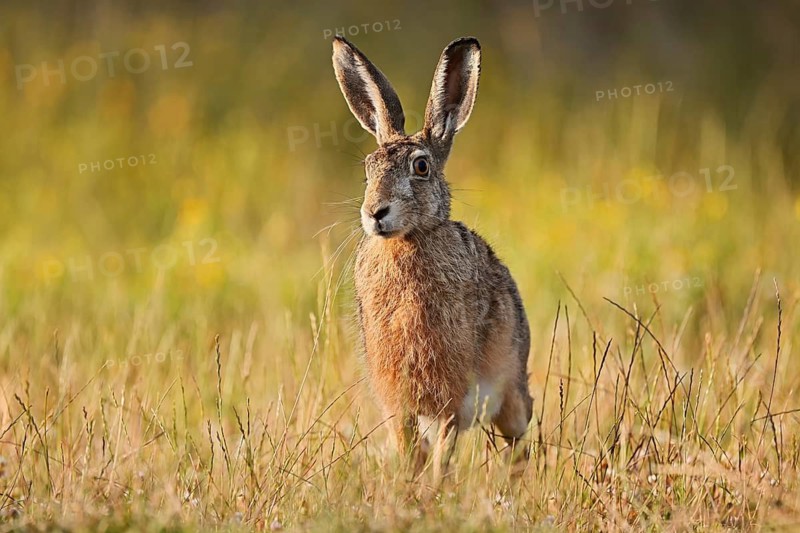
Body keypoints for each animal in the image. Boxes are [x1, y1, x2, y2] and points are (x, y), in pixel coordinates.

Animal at [332, 35, 532, 480]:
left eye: (421, 167)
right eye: (368, 169)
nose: (375, 212)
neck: (408, 241)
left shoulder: (456, 396)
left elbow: (445, 447)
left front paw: (435, 487)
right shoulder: (398, 402)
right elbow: (409, 449)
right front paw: (410, 485)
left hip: (510, 392)